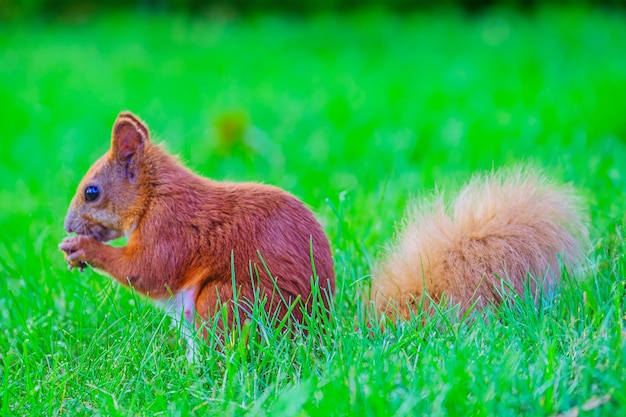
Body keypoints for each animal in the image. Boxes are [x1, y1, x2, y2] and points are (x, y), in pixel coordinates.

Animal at [58, 113, 584, 334]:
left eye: (92, 191)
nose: (67, 223)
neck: (154, 195)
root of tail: (322, 332)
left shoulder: (172, 227)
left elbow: (148, 270)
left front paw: (83, 250)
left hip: (226, 302)